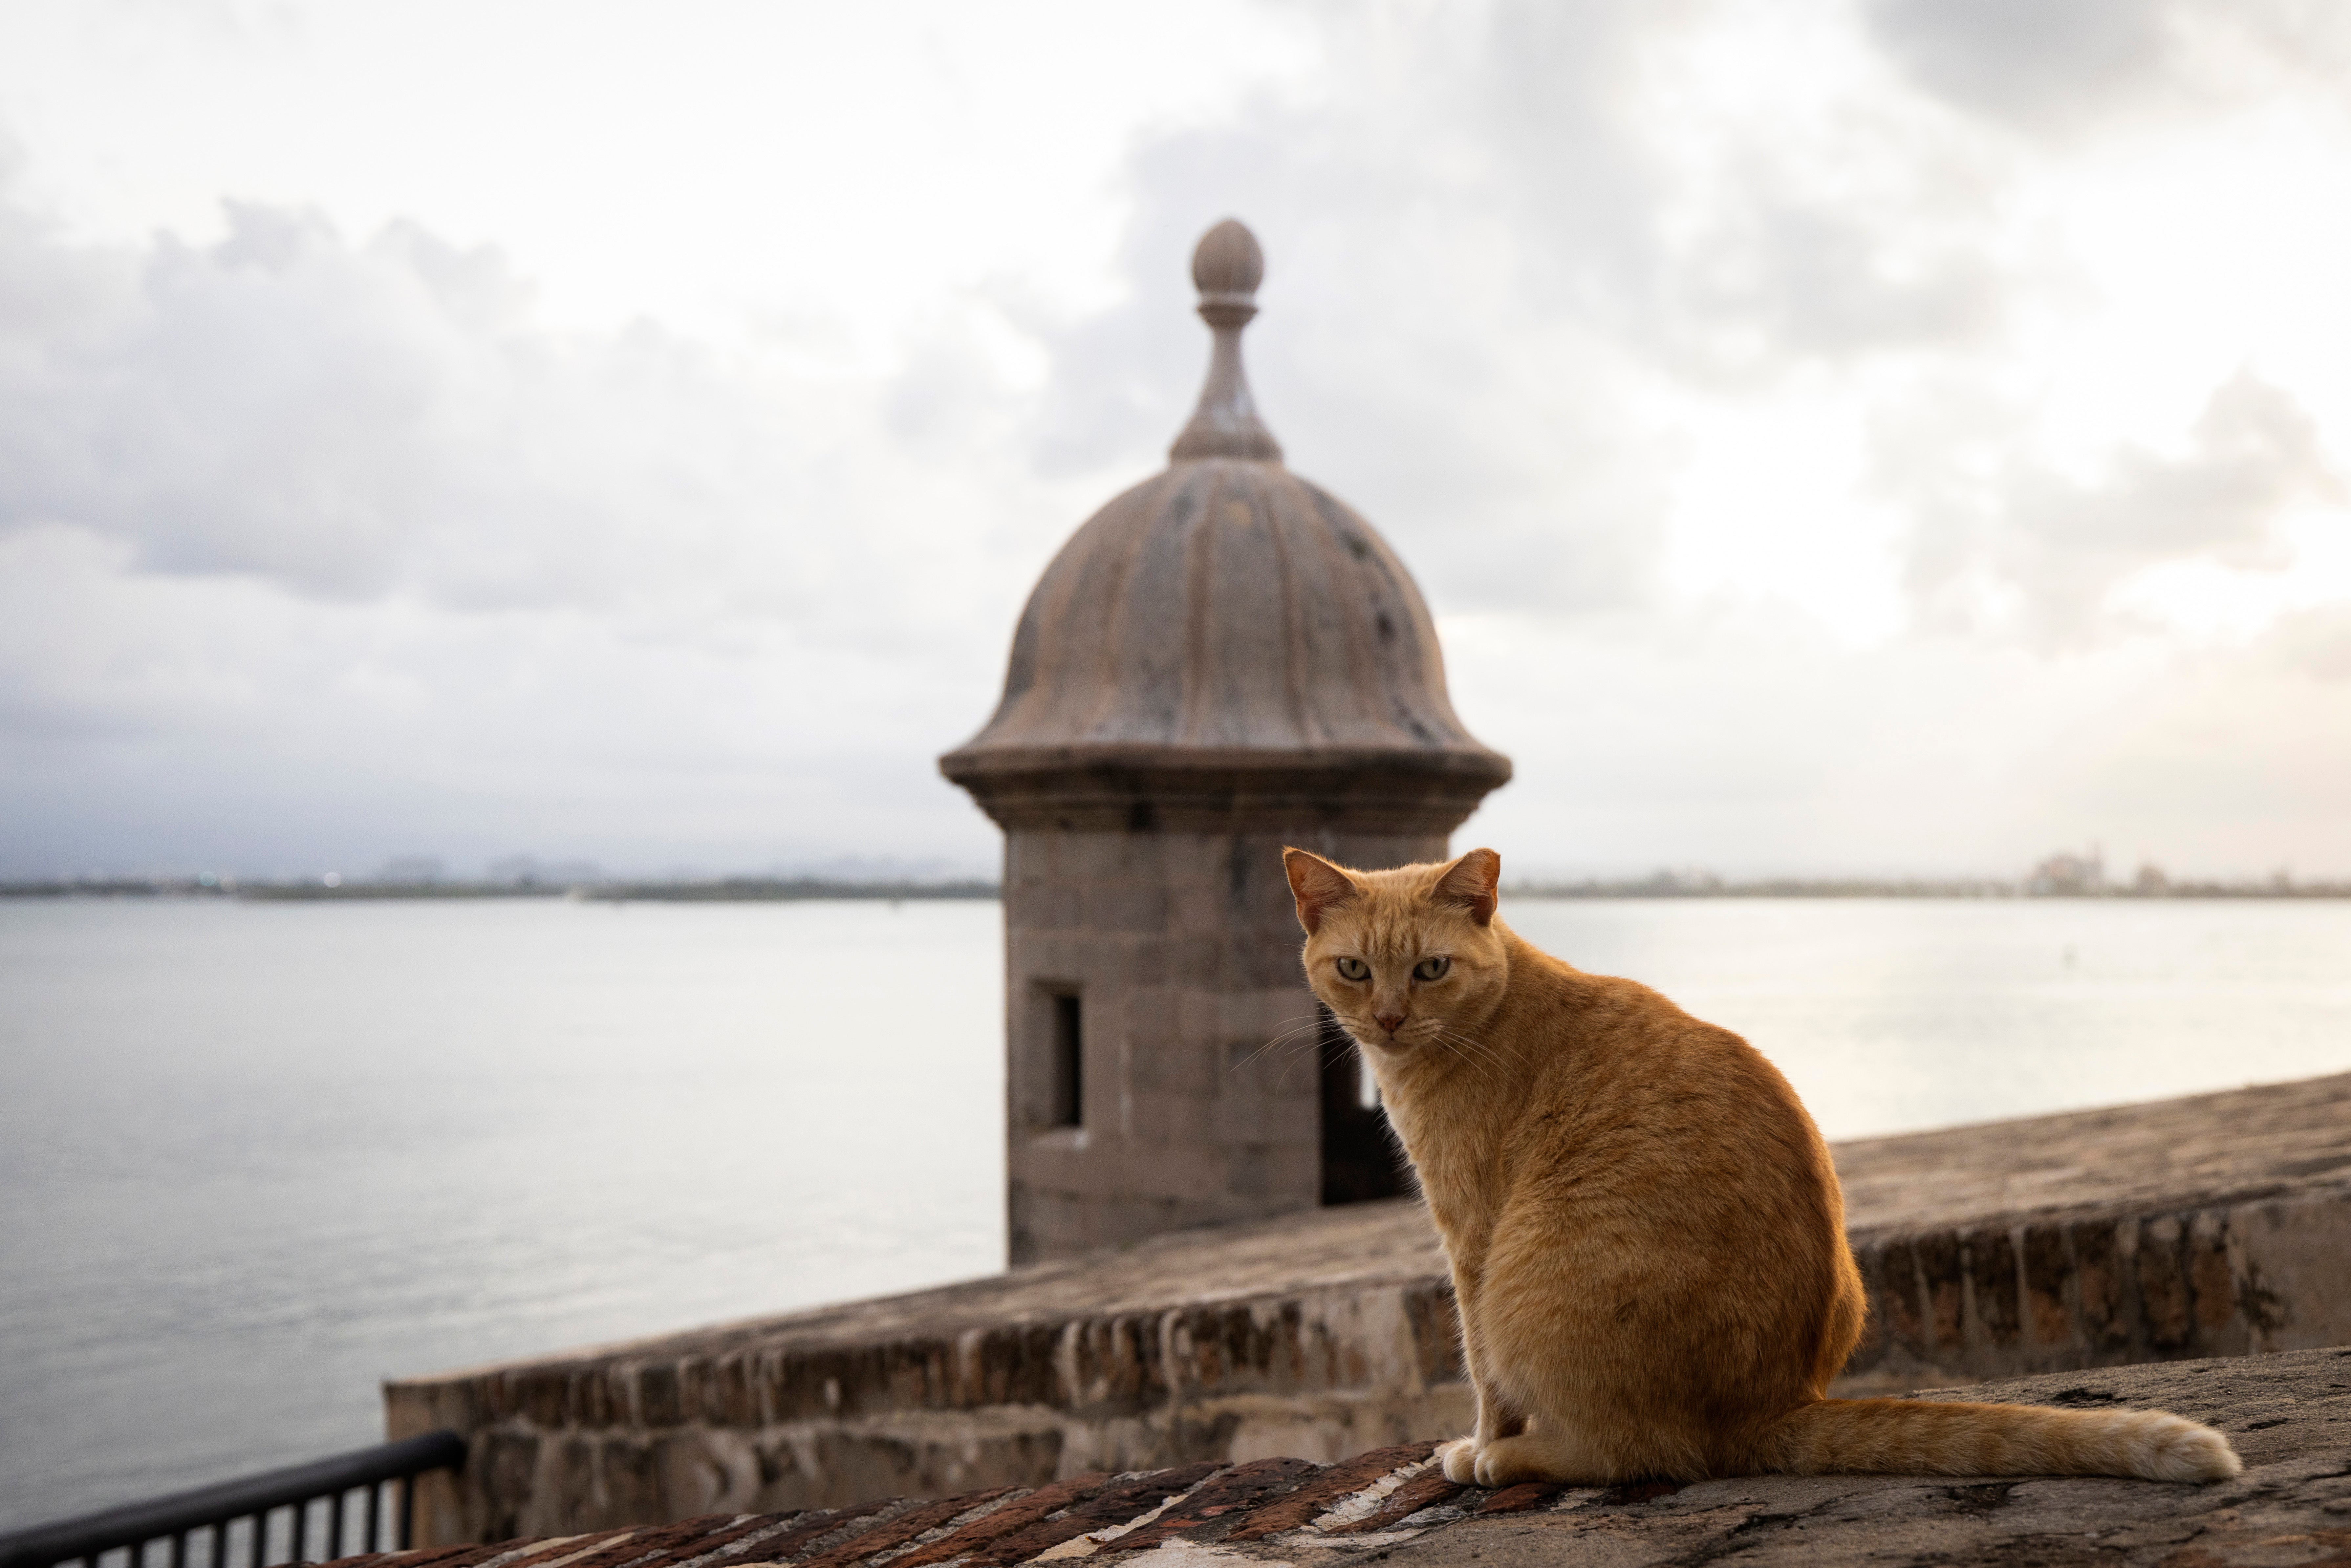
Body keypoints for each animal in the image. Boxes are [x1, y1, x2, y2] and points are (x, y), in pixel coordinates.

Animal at [1288, 851, 2238, 1495]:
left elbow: (1483, 1370)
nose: (1388, 1018)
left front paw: (1480, 1439)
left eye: (1431, 969)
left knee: (1636, 1452)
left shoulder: (1471, 1238)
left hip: (1528, 1280)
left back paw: (1502, 1460)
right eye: (1354, 968)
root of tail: (1771, 1405)